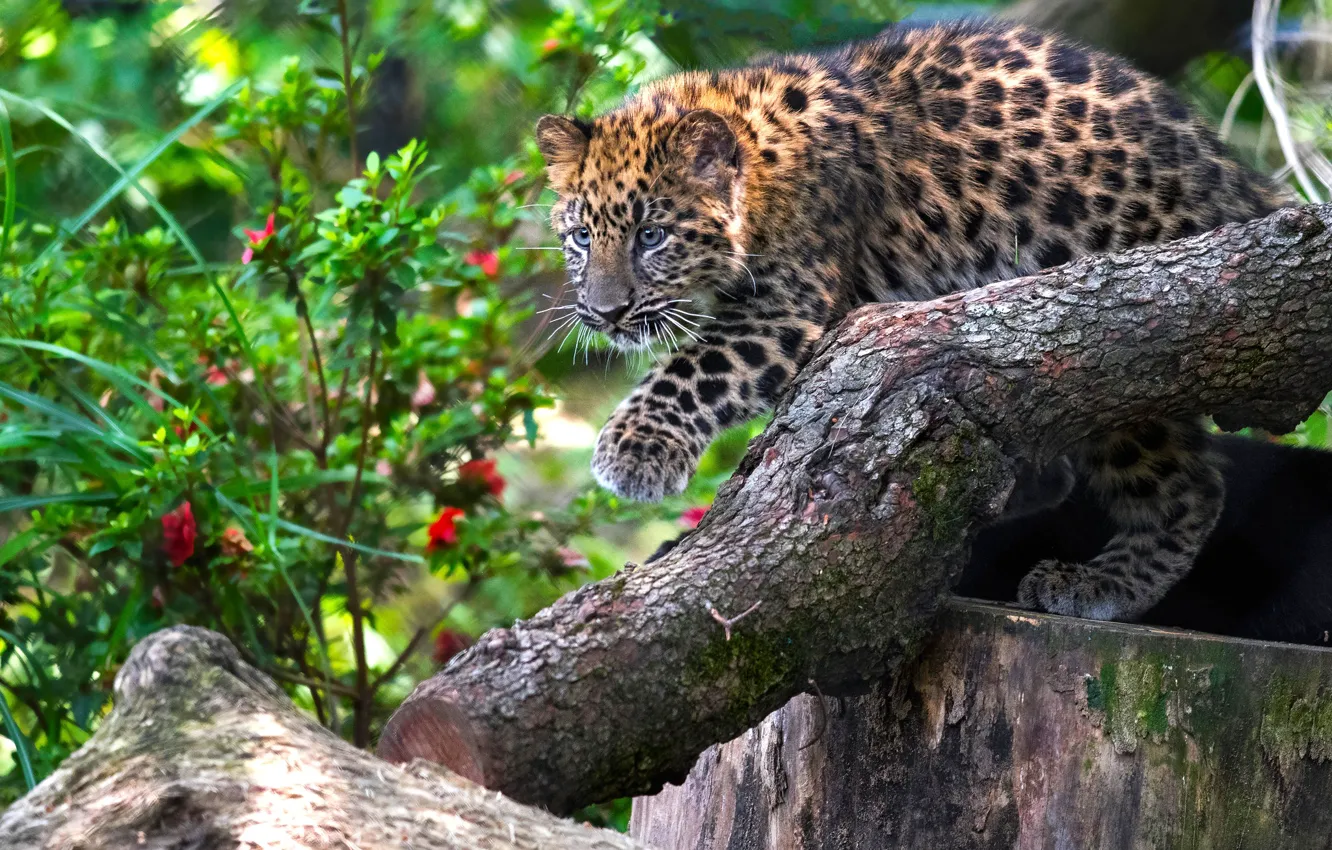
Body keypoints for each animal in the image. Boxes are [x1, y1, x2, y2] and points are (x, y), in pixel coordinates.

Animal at [534, 20, 1291, 622]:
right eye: (581, 238)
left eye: (652, 235)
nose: (604, 312)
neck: (758, 166)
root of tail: (1236, 183)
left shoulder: (785, 310)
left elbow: (696, 372)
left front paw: (631, 450)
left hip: (1130, 347)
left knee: (1189, 488)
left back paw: (1098, 585)